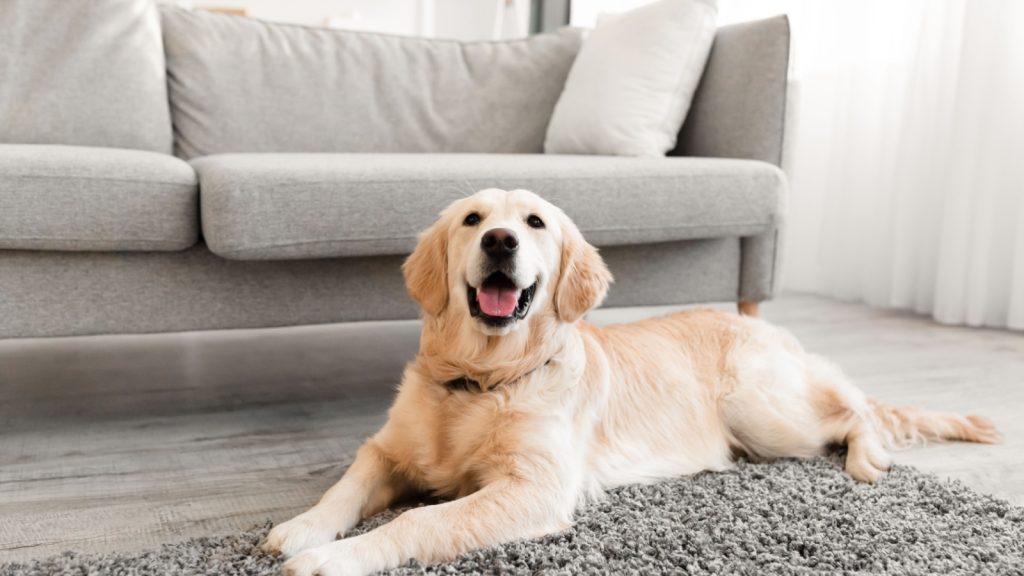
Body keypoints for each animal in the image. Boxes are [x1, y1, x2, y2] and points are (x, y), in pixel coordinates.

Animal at [264, 188, 999, 573]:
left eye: (534, 223)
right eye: (473, 220)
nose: (500, 241)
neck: (484, 377)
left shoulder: (533, 488)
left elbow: (424, 519)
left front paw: (335, 560)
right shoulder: (387, 450)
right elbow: (345, 487)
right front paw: (303, 528)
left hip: (764, 410)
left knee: (854, 410)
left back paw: (868, 458)